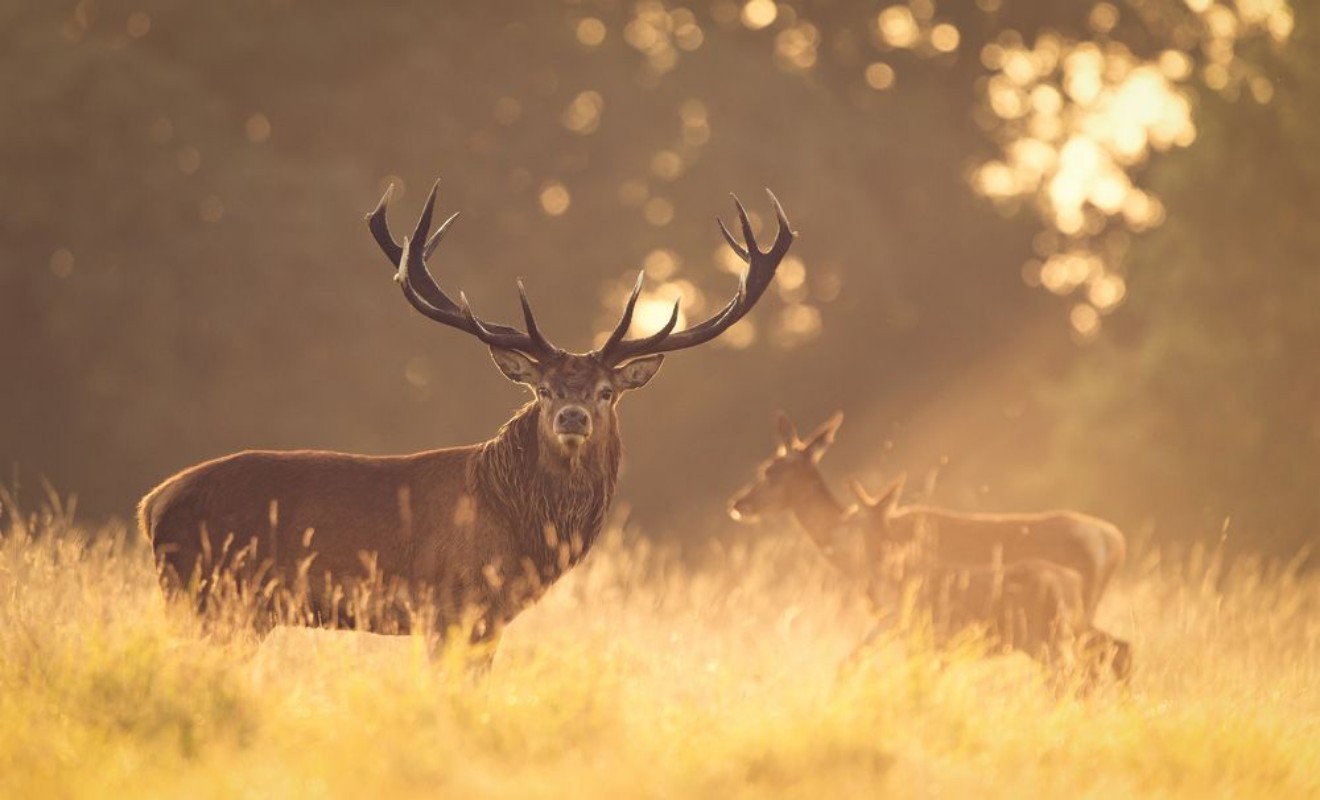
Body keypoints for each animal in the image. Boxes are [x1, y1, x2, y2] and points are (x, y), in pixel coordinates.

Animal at [141, 178, 795, 659]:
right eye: (543, 390)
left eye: (608, 391)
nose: (573, 417)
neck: (521, 528)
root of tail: (152, 504)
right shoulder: (451, 605)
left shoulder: (488, 619)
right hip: (208, 595)